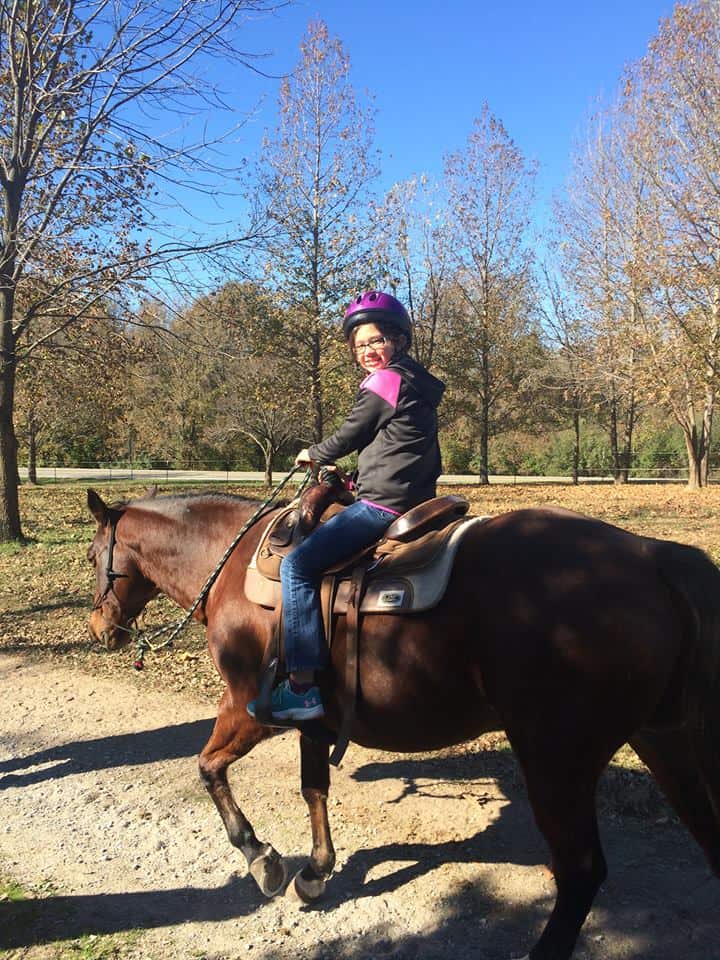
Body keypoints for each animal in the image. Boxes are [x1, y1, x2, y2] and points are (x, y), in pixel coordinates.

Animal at [87, 488, 720, 960]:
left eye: (93, 555)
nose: (98, 630)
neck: (235, 565)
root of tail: (653, 558)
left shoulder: (247, 705)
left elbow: (209, 767)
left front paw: (262, 858)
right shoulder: (314, 720)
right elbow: (313, 789)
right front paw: (316, 871)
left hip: (556, 760)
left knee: (582, 870)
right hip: (665, 741)